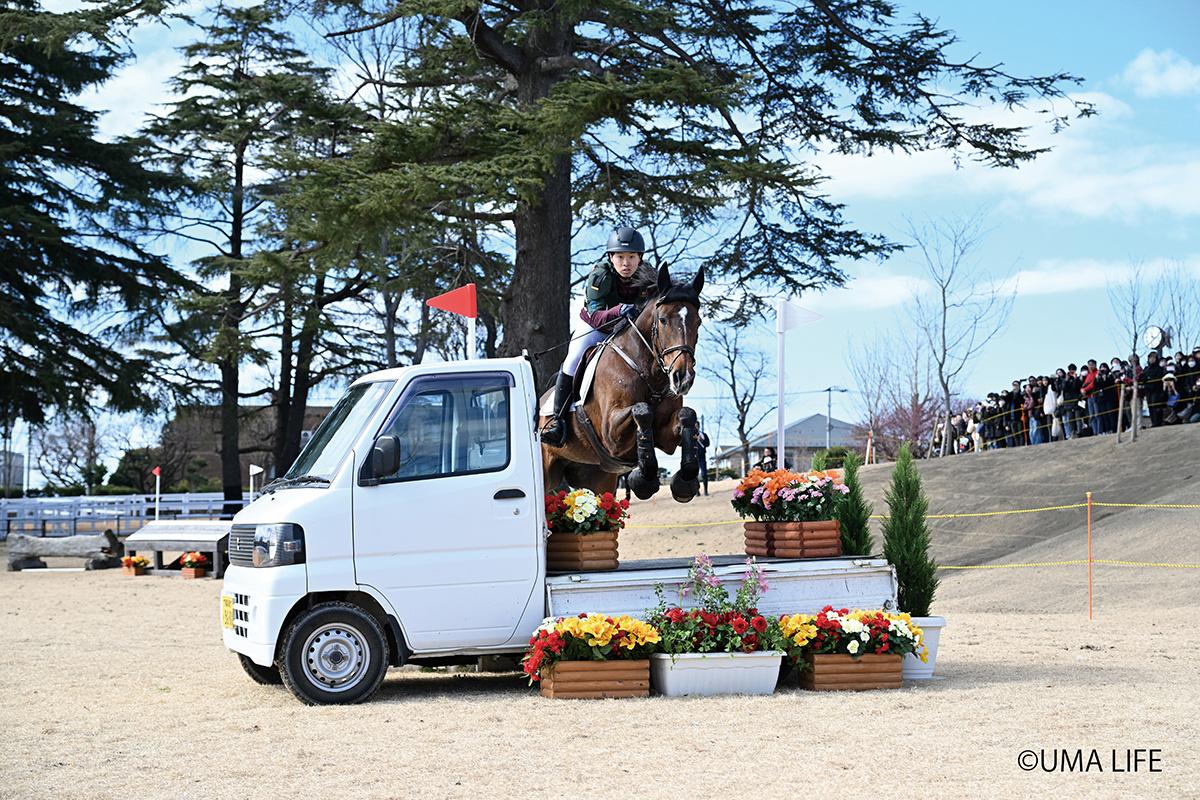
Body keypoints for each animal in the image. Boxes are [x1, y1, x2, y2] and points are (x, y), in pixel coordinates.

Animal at [539, 264, 704, 503]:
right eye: (663, 319)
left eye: (697, 322)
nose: (682, 378)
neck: (648, 373)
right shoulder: (611, 435)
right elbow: (643, 411)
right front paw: (644, 478)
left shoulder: (665, 436)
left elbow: (686, 415)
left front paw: (685, 481)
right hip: (544, 472)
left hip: (597, 478)